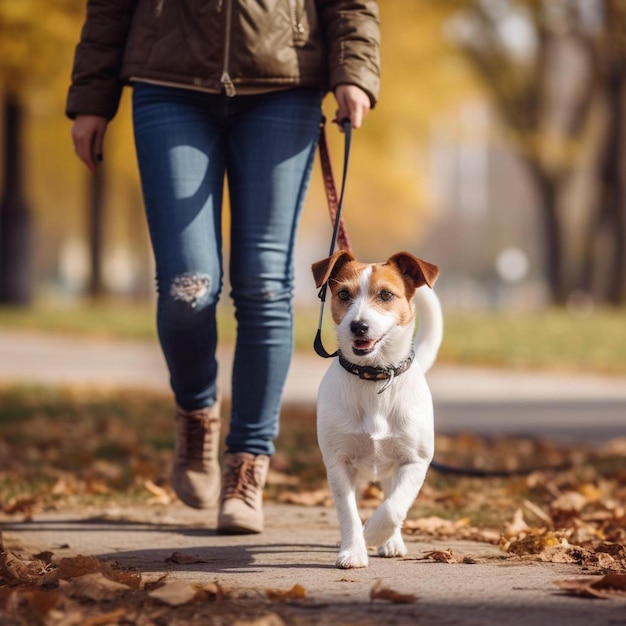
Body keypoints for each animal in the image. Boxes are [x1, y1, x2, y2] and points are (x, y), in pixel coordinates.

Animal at [310, 249, 438, 564]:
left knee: (391, 498)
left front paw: (373, 535)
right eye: (344, 294)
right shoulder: (338, 463)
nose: (358, 326)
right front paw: (353, 549)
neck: (374, 376)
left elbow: (393, 508)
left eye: (386, 295)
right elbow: (348, 512)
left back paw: (390, 542)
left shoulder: (415, 462)